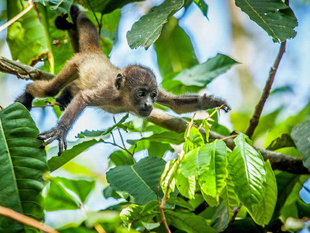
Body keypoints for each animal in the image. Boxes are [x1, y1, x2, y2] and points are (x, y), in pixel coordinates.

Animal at [16, 5, 230, 155]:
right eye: (141, 93)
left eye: (153, 95)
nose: (149, 104)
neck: (124, 99)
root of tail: (95, 53)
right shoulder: (109, 93)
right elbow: (84, 98)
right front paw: (60, 131)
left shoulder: (158, 90)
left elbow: (175, 104)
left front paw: (211, 101)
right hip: (74, 63)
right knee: (50, 90)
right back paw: (28, 95)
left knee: (73, 88)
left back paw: (65, 95)